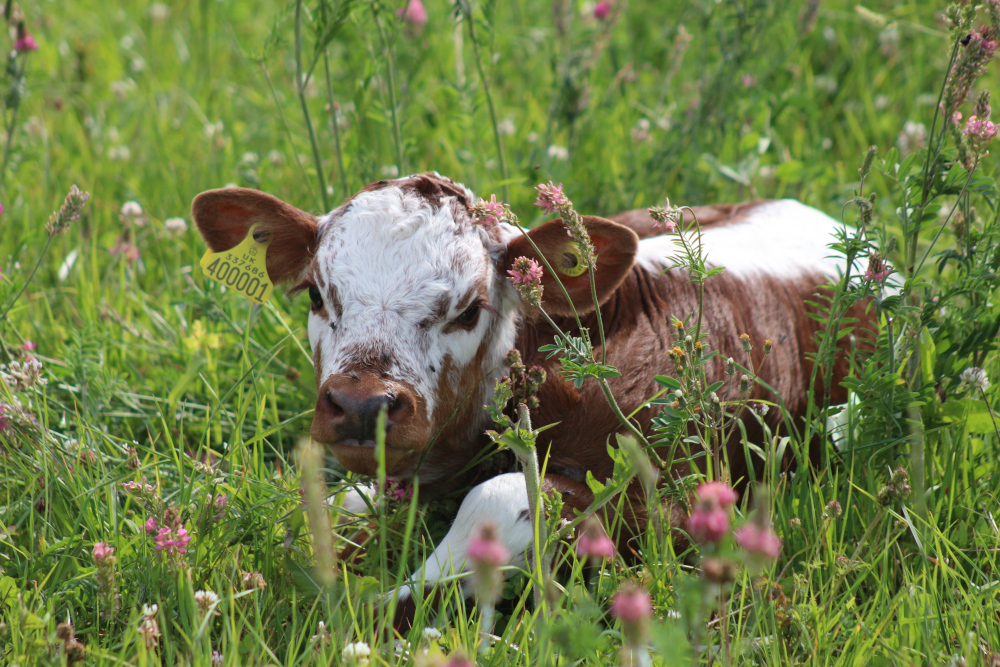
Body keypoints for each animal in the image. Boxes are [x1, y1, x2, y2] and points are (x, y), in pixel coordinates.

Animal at [192, 172, 861, 607]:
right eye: (315, 294)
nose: (361, 404)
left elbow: (497, 501)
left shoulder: (673, 498)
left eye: (468, 309)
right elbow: (334, 509)